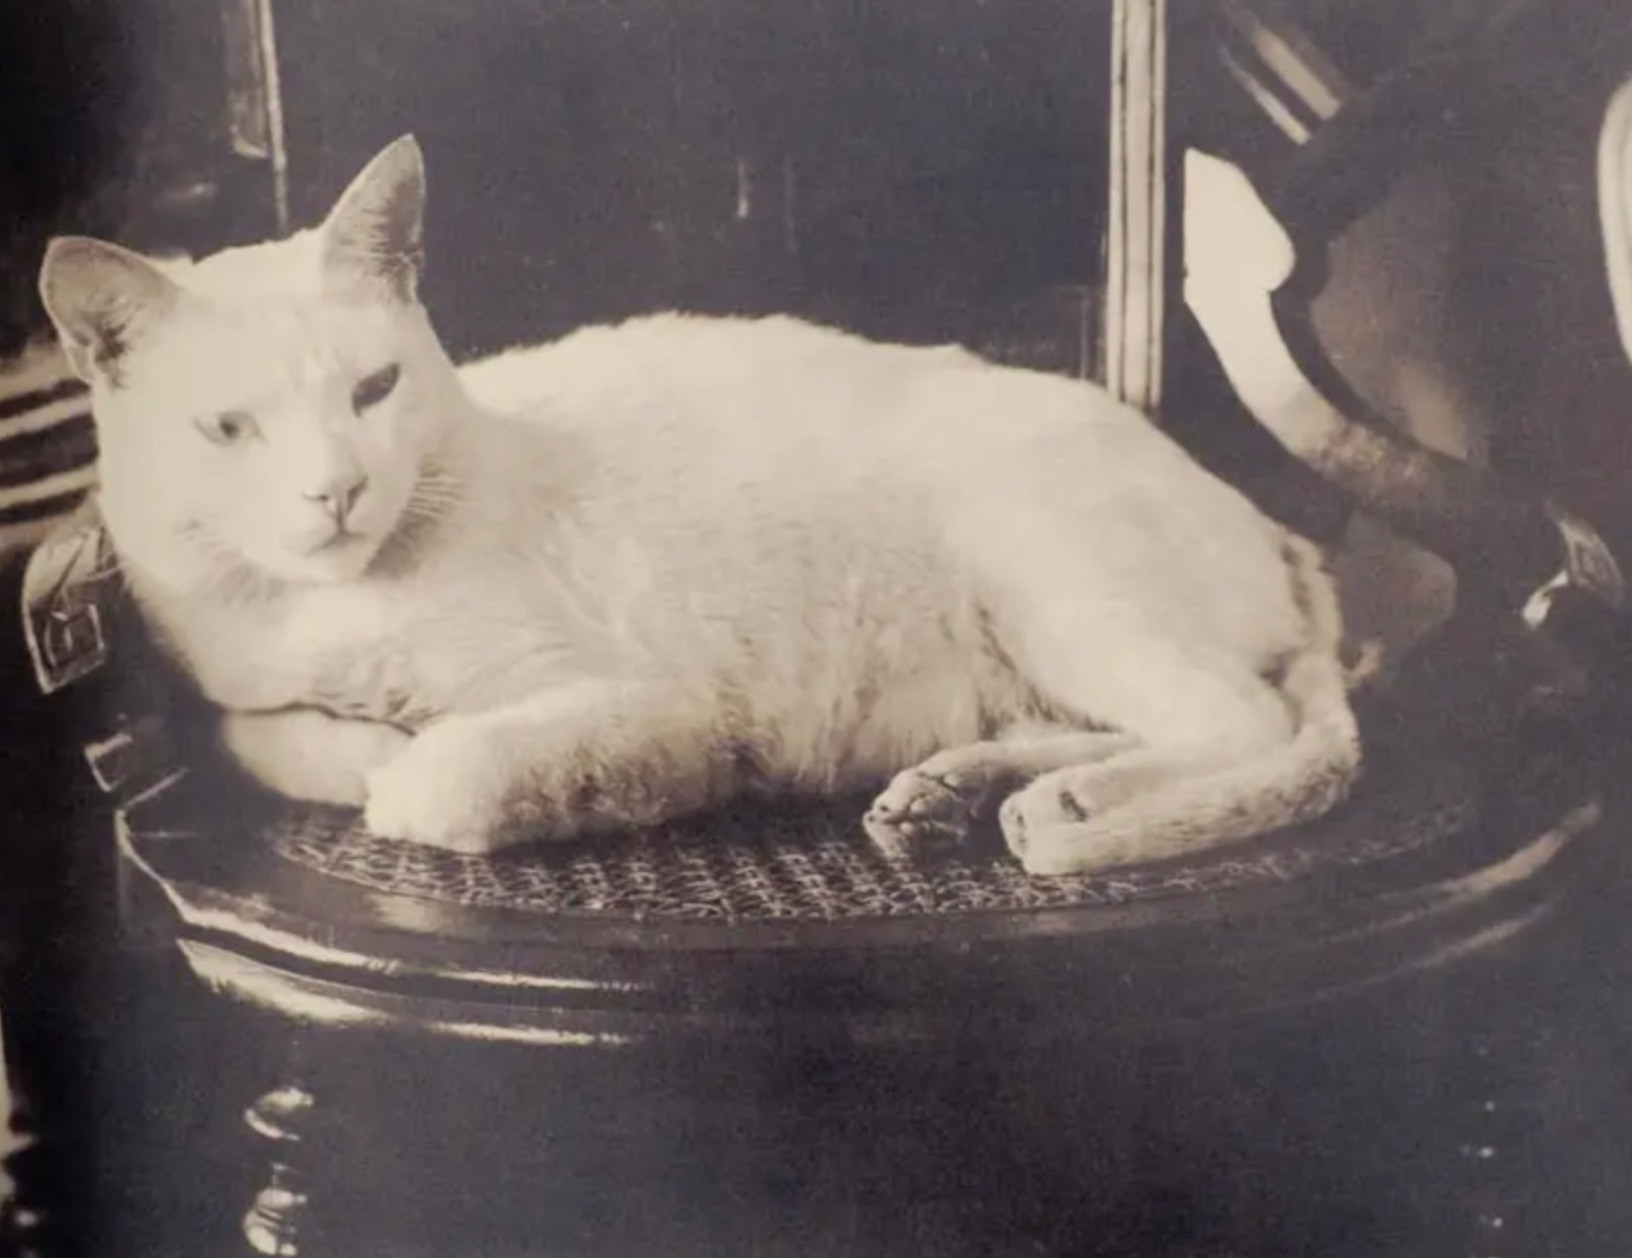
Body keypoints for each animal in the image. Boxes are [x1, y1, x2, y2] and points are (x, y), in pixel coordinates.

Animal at [38, 135, 1364, 874]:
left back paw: (1061, 804)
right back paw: (958, 793)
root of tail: (1280, 533)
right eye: (229, 430)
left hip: (1046, 572)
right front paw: (362, 738)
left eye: (373, 390)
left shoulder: (644, 697)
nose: (339, 489)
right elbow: (260, 737)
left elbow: (439, 781)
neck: (325, 611)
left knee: (1246, 721)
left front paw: (498, 776)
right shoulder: (241, 691)